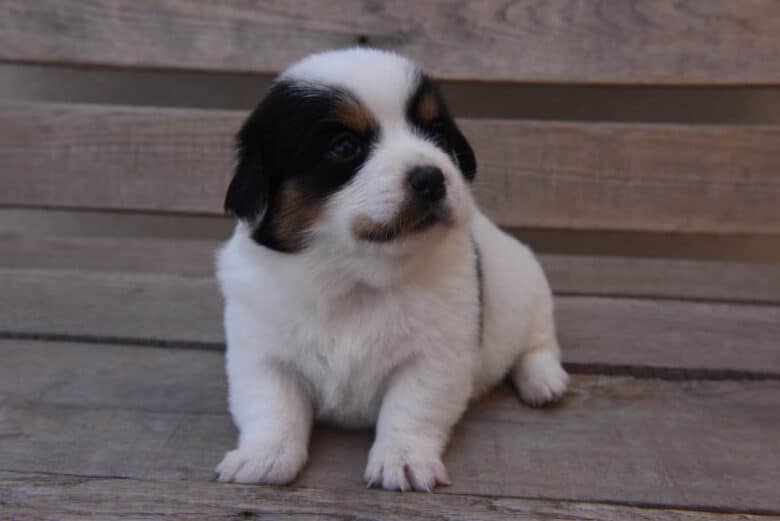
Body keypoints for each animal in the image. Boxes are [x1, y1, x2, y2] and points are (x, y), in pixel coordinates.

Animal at [213, 46, 568, 490]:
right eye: (344, 147)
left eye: (436, 134)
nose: (431, 177)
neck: (354, 277)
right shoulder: (260, 352)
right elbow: (272, 405)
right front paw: (265, 455)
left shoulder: (435, 356)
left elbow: (411, 408)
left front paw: (403, 459)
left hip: (527, 282)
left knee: (538, 341)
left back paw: (543, 379)